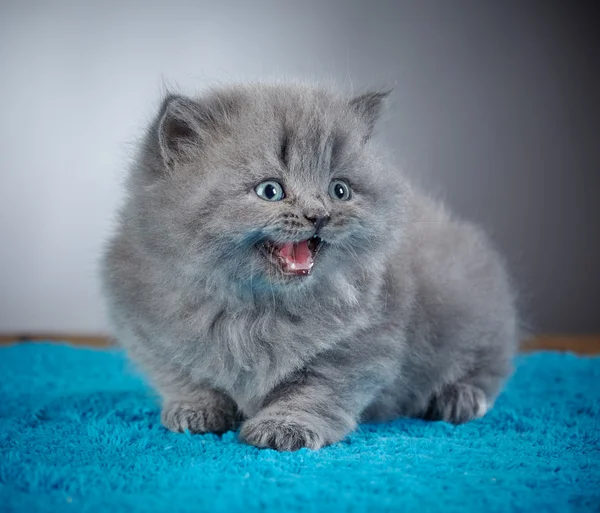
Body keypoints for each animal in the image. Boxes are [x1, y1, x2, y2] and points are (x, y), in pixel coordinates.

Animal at [101, 82, 516, 450]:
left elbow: (315, 390)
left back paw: (458, 398)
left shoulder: (360, 345)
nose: (319, 215)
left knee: (488, 368)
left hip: (475, 308)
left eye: (339, 190)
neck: (254, 311)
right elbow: (183, 375)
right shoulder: (145, 328)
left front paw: (283, 427)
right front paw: (196, 410)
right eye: (270, 191)